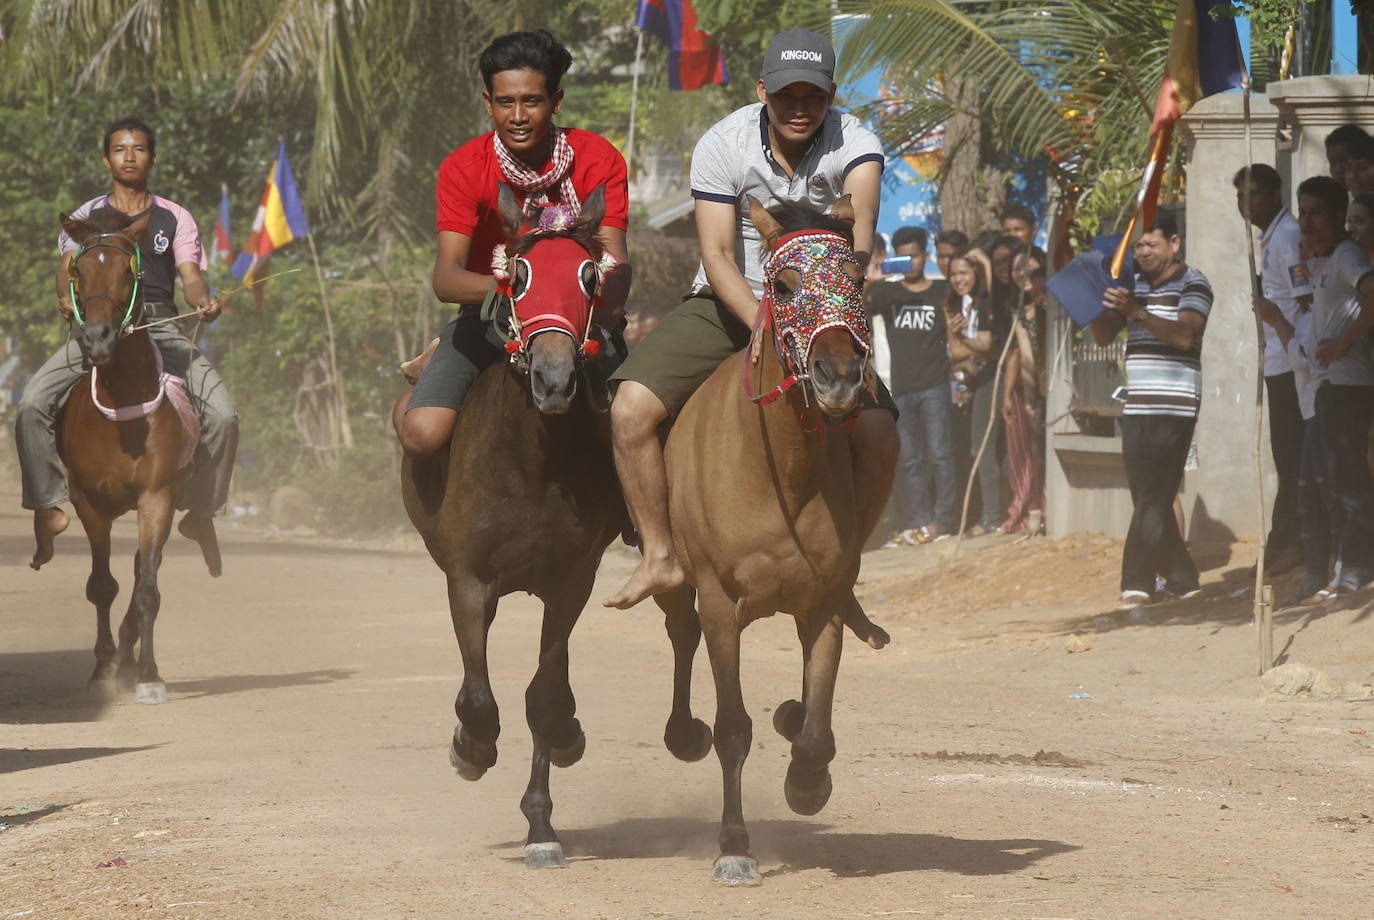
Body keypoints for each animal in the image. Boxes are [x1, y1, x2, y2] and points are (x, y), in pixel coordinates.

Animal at [50, 205, 219, 703]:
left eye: (129, 271)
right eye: (78, 270)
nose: (98, 339)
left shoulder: (157, 497)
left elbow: (147, 589)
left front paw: (147, 674)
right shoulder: (89, 502)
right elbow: (102, 585)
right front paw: (100, 668)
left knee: (148, 568)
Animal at [398, 185, 629, 873]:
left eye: (590, 275)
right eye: (518, 275)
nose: (553, 380)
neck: (531, 462)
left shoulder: (571, 581)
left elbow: (542, 695)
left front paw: (542, 823)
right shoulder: (469, 580)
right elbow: (479, 698)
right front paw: (470, 747)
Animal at [651, 194, 884, 884]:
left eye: (857, 278)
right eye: (782, 285)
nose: (839, 377)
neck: (779, 467)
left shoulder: (824, 604)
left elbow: (817, 725)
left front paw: (807, 782)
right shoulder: (721, 604)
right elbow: (733, 726)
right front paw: (734, 845)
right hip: (678, 579)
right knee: (681, 633)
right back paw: (684, 733)